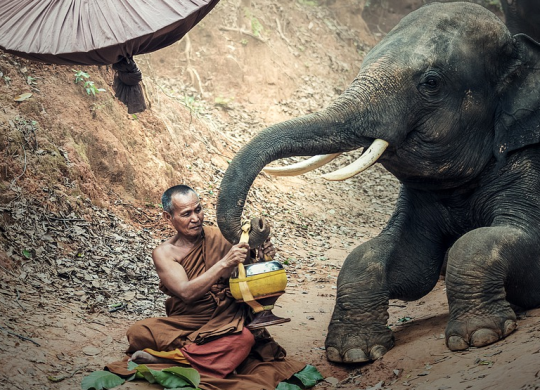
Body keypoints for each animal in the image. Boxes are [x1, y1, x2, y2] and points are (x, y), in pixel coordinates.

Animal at [215, 1, 540, 364]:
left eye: (431, 82)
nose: (256, 224)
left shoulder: (529, 164)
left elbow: (489, 243)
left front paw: (479, 336)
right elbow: (400, 264)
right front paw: (353, 353)